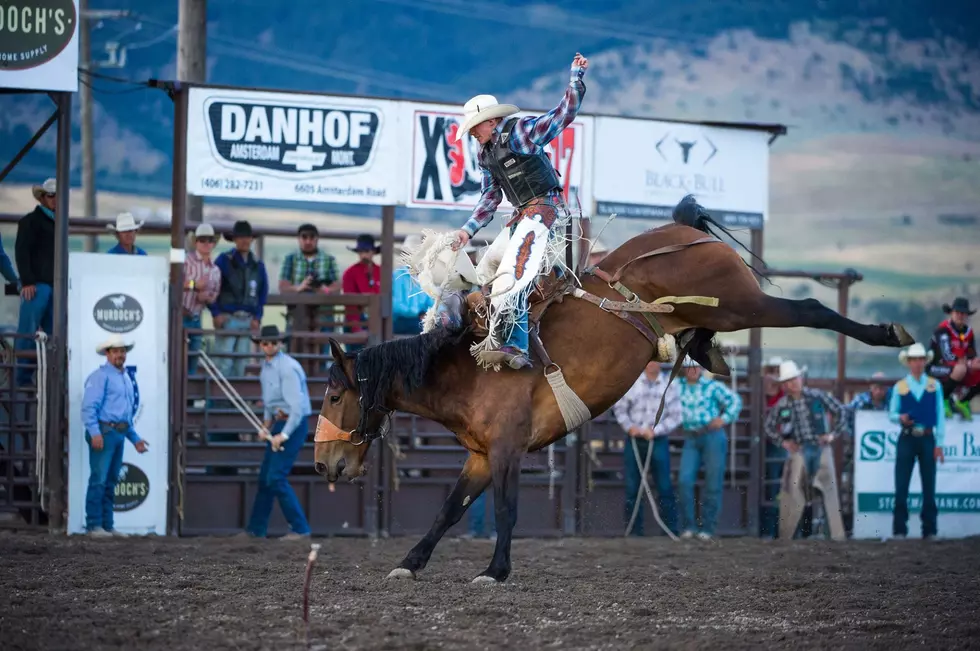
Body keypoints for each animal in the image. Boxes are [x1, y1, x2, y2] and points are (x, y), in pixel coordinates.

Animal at [312, 195, 912, 584]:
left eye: (335, 396)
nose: (323, 466)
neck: (468, 366)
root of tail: (685, 232)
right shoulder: (480, 456)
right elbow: (448, 511)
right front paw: (408, 564)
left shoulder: (506, 450)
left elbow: (505, 510)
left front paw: (496, 570)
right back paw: (705, 350)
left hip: (742, 304)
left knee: (809, 308)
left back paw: (889, 333)